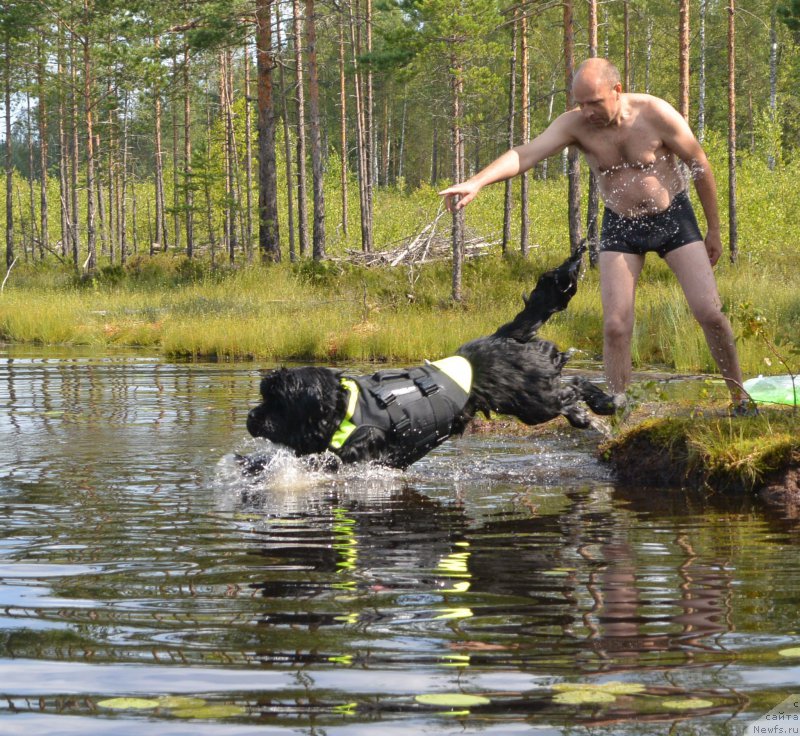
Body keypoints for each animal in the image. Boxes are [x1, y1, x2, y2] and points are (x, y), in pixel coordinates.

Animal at [247, 244, 620, 468]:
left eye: (278, 401)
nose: (251, 418)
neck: (342, 406)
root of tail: (503, 335)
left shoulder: (362, 451)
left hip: (532, 399)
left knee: (575, 385)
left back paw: (607, 403)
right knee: (570, 388)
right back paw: (591, 412)